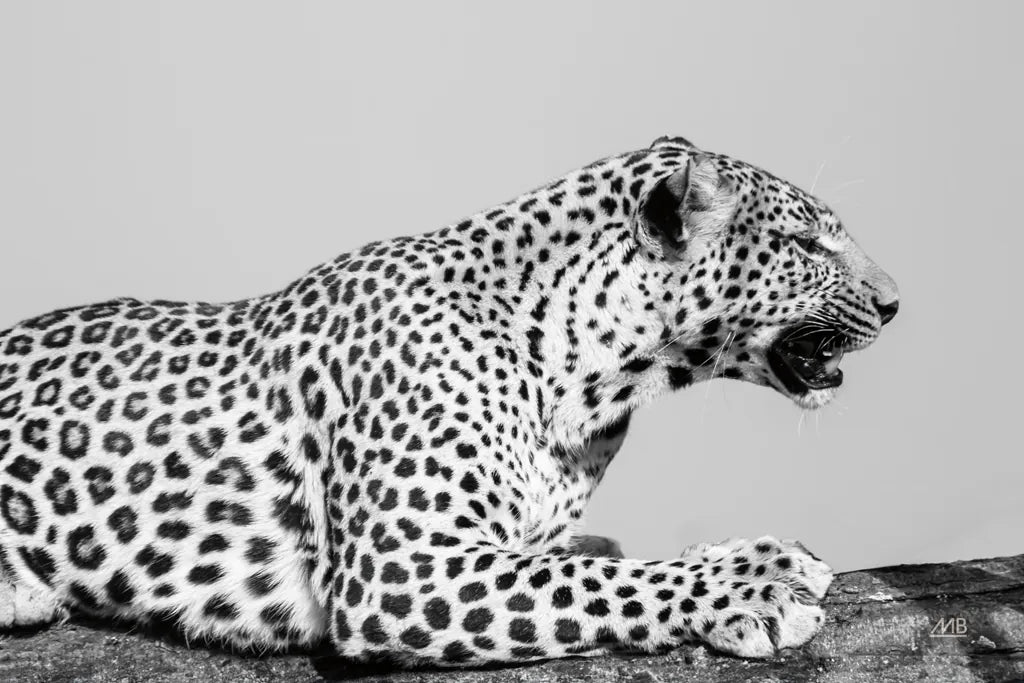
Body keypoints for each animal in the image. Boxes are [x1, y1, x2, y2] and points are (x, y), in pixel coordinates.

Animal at [0, 135, 898, 666]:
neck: (596, 377)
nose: (895, 303)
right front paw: (756, 584)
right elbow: (595, 581)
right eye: (808, 243)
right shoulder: (401, 566)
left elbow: (590, 557)